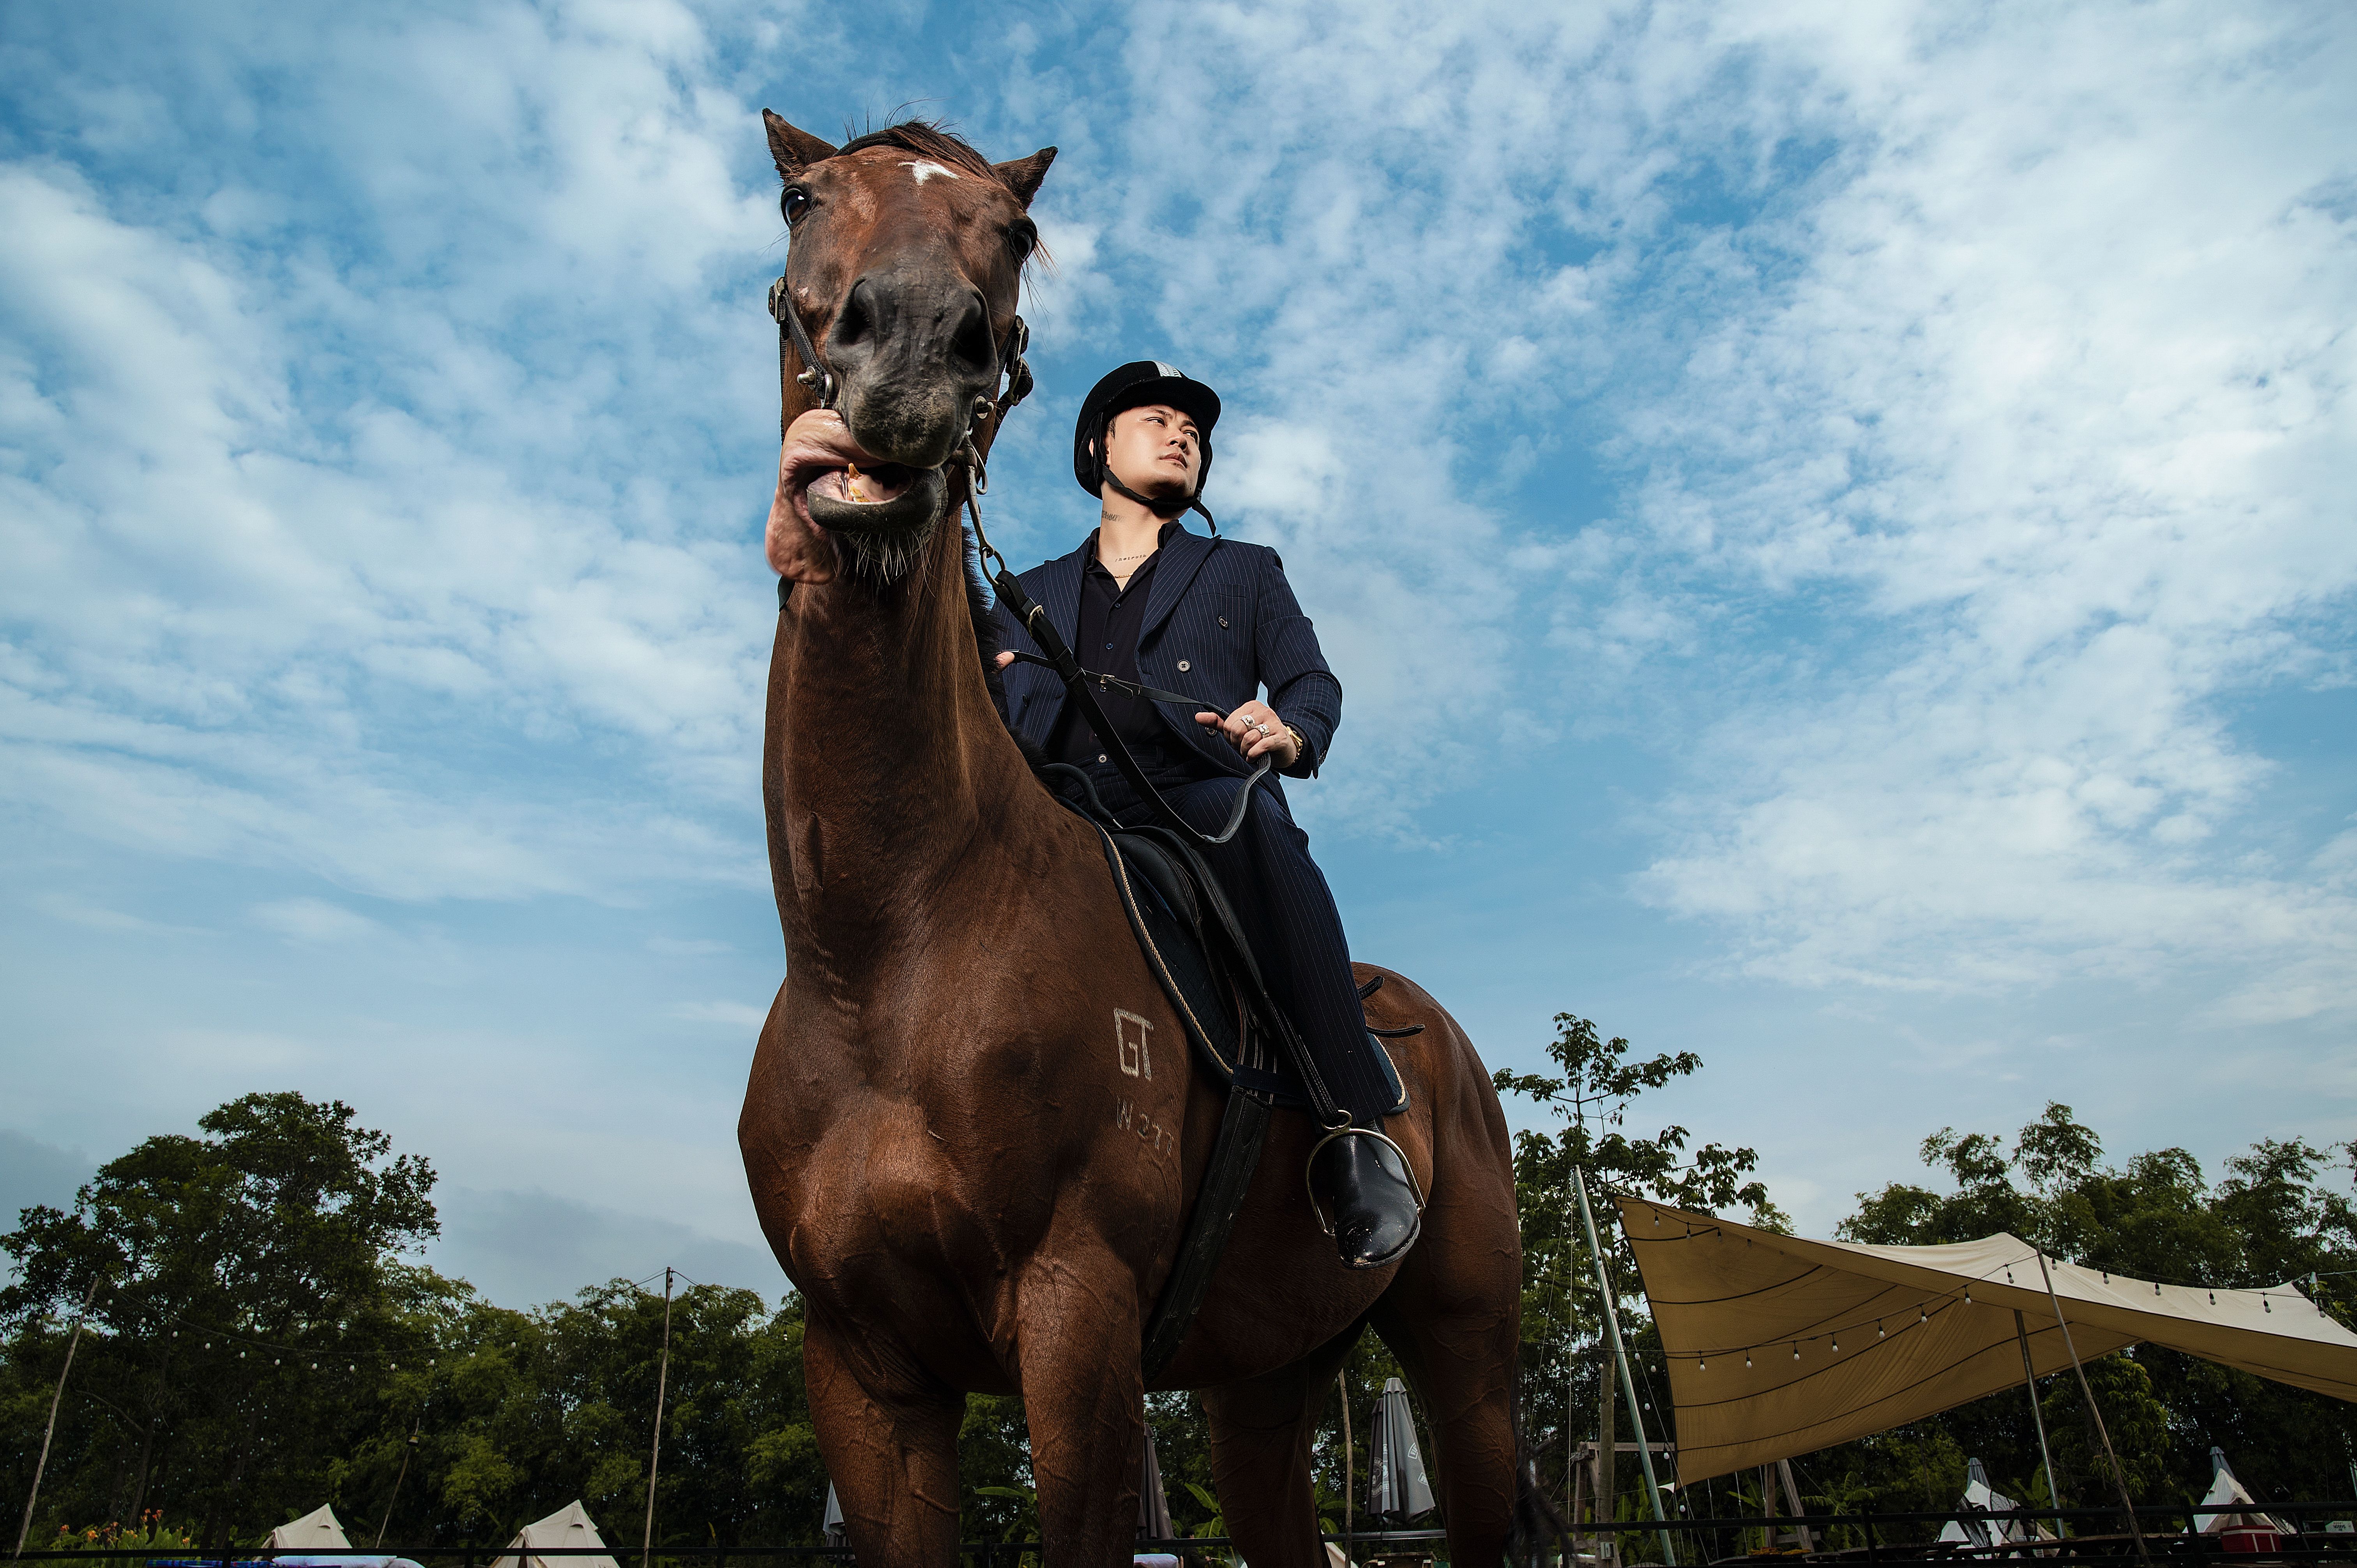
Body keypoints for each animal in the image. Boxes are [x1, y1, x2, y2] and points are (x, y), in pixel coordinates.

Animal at [737, 111, 1534, 1568]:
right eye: (800, 198)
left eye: (1014, 229)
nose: (913, 355)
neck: (890, 947)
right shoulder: (864, 1371)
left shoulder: (1077, 1323)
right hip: (1264, 1378)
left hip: (1468, 1358)